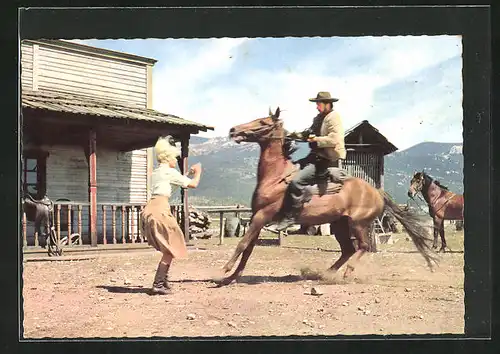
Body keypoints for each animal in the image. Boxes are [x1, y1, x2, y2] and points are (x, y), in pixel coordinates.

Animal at [217, 107, 436, 284]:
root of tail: (377, 192)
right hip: (339, 224)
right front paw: (231, 277)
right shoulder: (256, 217)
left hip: (358, 224)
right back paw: (326, 273)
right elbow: (247, 249)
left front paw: (225, 269)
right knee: (348, 250)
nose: (233, 130)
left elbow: (242, 244)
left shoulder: (263, 215)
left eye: (263, 122)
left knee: (362, 247)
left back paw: (346, 272)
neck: (276, 177)